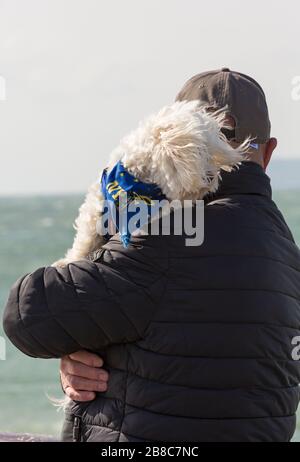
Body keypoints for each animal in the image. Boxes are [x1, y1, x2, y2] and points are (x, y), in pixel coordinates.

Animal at [53, 101, 248, 268]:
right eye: (198, 152)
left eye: (206, 152)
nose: (211, 177)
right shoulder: (95, 210)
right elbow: (85, 240)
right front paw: (67, 261)